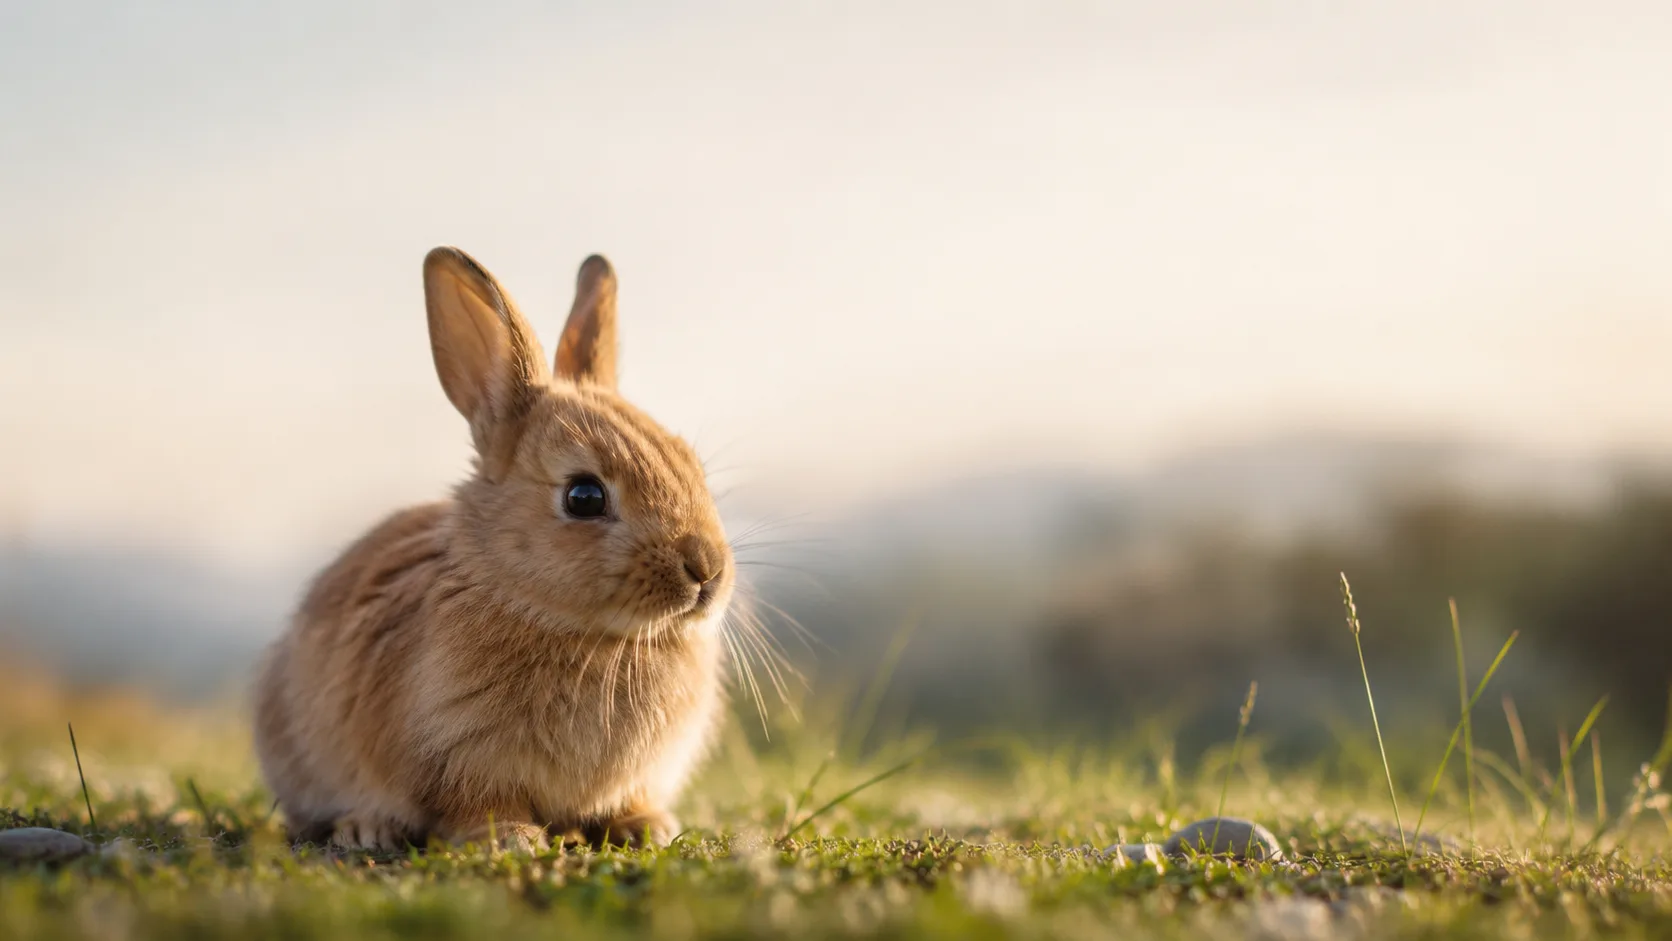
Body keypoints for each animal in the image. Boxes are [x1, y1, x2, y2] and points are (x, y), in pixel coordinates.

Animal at [253, 246, 734, 853]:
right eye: (583, 496)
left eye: (692, 466)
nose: (707, 571)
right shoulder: (458, 753)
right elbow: (476, 803)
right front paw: (511, 837)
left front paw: (648, 827)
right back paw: (367, 830)